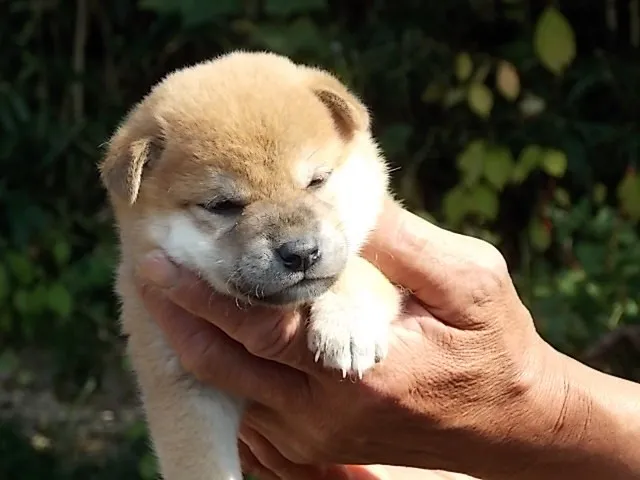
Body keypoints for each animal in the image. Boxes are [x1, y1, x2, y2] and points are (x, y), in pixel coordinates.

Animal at [99, 50, 400, 478]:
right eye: (222, 205)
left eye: (317, 181)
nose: (301, 252)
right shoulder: (184, 385)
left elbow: (359, 268)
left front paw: (348, 327)